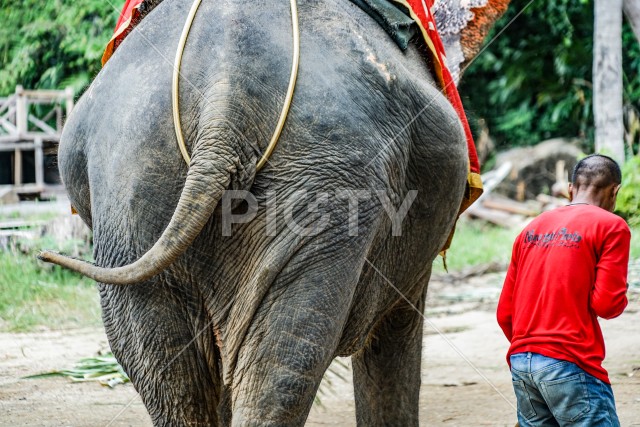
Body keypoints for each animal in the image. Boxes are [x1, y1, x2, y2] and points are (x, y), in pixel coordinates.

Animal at [41, 0, 510, 424]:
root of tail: (224, 89)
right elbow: (395, 330)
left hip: (136, 181)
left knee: (184, 374)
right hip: (321, 183)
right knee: (284, 361)